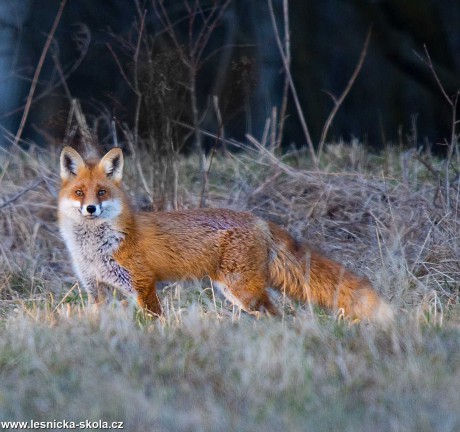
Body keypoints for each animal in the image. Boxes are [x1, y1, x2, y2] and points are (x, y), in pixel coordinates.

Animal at [57, 147, 394, 322]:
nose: (90, 208)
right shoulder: (96, 289)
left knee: (277, 314)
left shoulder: (142, 284)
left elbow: (154, 320)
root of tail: (259, 219)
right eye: (79, 192)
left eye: (102, 192)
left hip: (242, 289)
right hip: (236, 291)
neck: (95, 248)